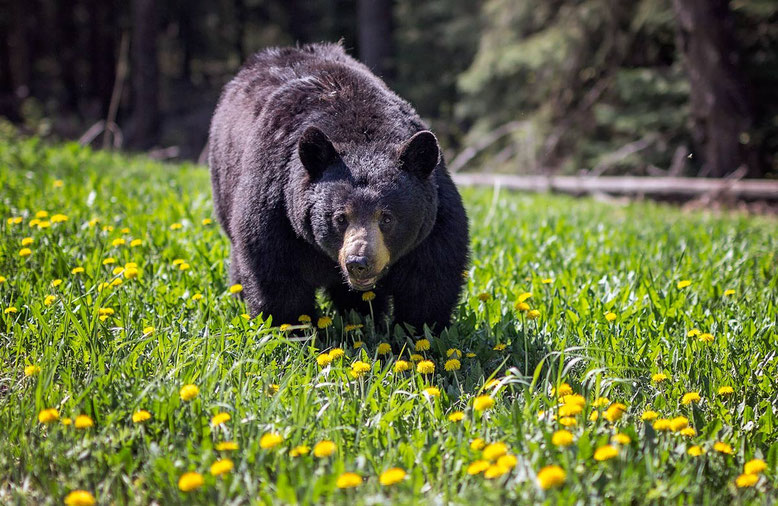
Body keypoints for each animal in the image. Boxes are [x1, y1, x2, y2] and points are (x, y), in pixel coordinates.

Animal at [208, 44, 466, 332]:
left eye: (387, 218)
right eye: (340, 218)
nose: (359, 263)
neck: (359, 132)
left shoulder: (436, 210)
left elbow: (430, 275)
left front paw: (420, 331)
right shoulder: (276, 199)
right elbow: (276, 271)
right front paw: (290, 329)